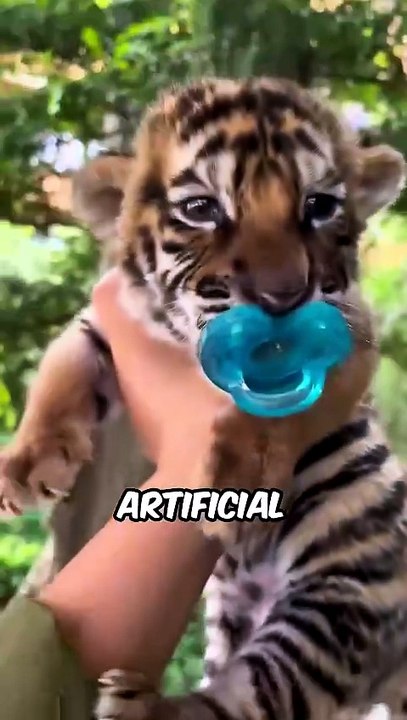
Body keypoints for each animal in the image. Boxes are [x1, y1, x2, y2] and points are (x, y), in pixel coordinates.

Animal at [0, 77, 406, 720]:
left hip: (343, 594)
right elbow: (61, 371)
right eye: (201, 209)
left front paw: (238, 480)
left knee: (253, 694)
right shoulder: (103, 326)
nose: (283, 296)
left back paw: (145, 706)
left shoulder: (346, 337)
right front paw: (29, 464)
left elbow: (272, 406)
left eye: (320, 206)